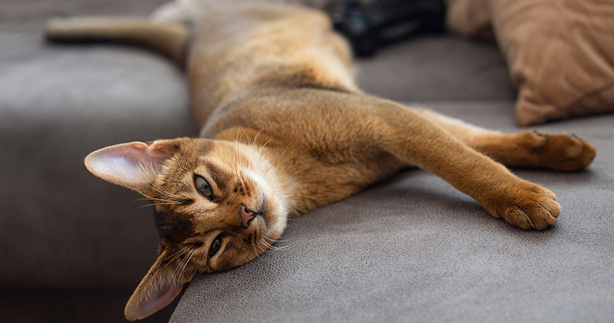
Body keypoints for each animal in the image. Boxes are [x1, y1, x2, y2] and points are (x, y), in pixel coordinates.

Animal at [44, 0, 596, 322]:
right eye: (216, 246)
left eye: (203, 186)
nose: (246, 213)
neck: (299, 175)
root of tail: (188, 43)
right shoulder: (396, 130)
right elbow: (474, 147)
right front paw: (555, 161)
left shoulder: (386, 118)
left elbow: (467, 159)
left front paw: (531, 185)